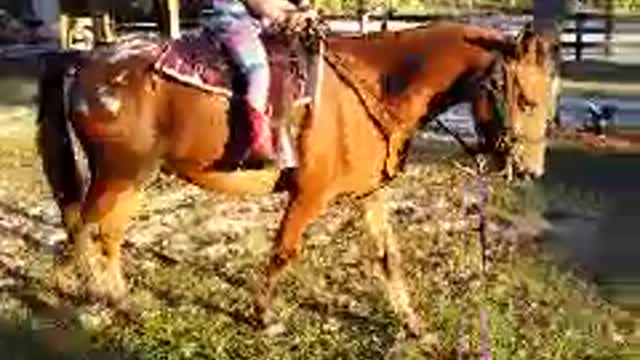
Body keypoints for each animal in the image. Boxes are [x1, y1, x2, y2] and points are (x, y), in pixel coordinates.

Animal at [36, 19, 556, 334]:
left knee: (106, 235)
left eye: (548, 104)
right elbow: (284, 252)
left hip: (130, 179)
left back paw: (120, 300)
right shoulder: (308, 195)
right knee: (82, 228)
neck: (375, 84)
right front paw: (263, 316)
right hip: (121, 174)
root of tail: (86, 61)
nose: (531, 171)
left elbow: (388, 258)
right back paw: (93, 296)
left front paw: (412, 325)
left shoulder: (369, 195)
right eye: (524, 99)